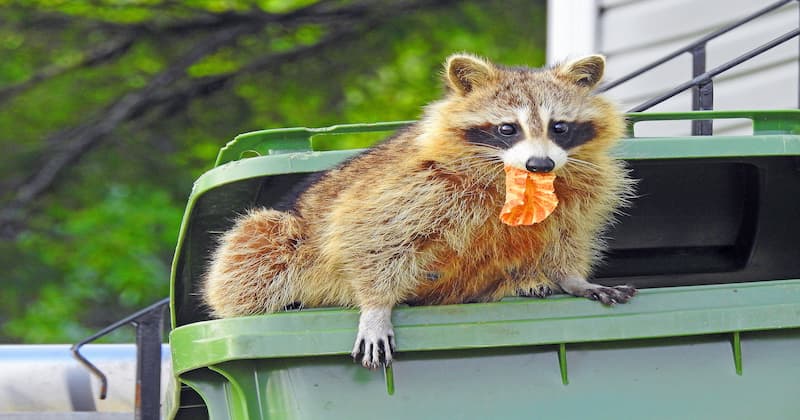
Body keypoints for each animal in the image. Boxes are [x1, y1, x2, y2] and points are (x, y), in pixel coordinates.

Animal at [205, 54, 636, 370]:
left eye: (559, 127)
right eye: (507, 129)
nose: (540, 165)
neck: (515, 178)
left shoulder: (579, 189)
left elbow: (565, 235)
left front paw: (572, 278)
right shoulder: (418, 183)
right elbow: (363, 231)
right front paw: (375, 306)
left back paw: (521, 282)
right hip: (282, 232)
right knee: (256, 248)